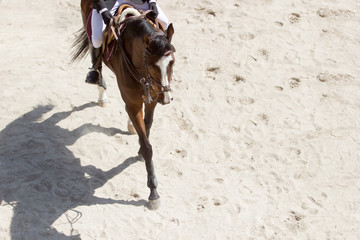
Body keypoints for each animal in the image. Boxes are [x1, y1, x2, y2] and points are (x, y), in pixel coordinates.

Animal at [70, 0, 176, 210]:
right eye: (152, 65)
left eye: (172, 62)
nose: (166, 98)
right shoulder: (134, 103)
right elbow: (147, 146)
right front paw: (153, 192)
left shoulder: (150, 100)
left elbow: (147, 128)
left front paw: (139, 148)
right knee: (96, 58)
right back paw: (100, 91)